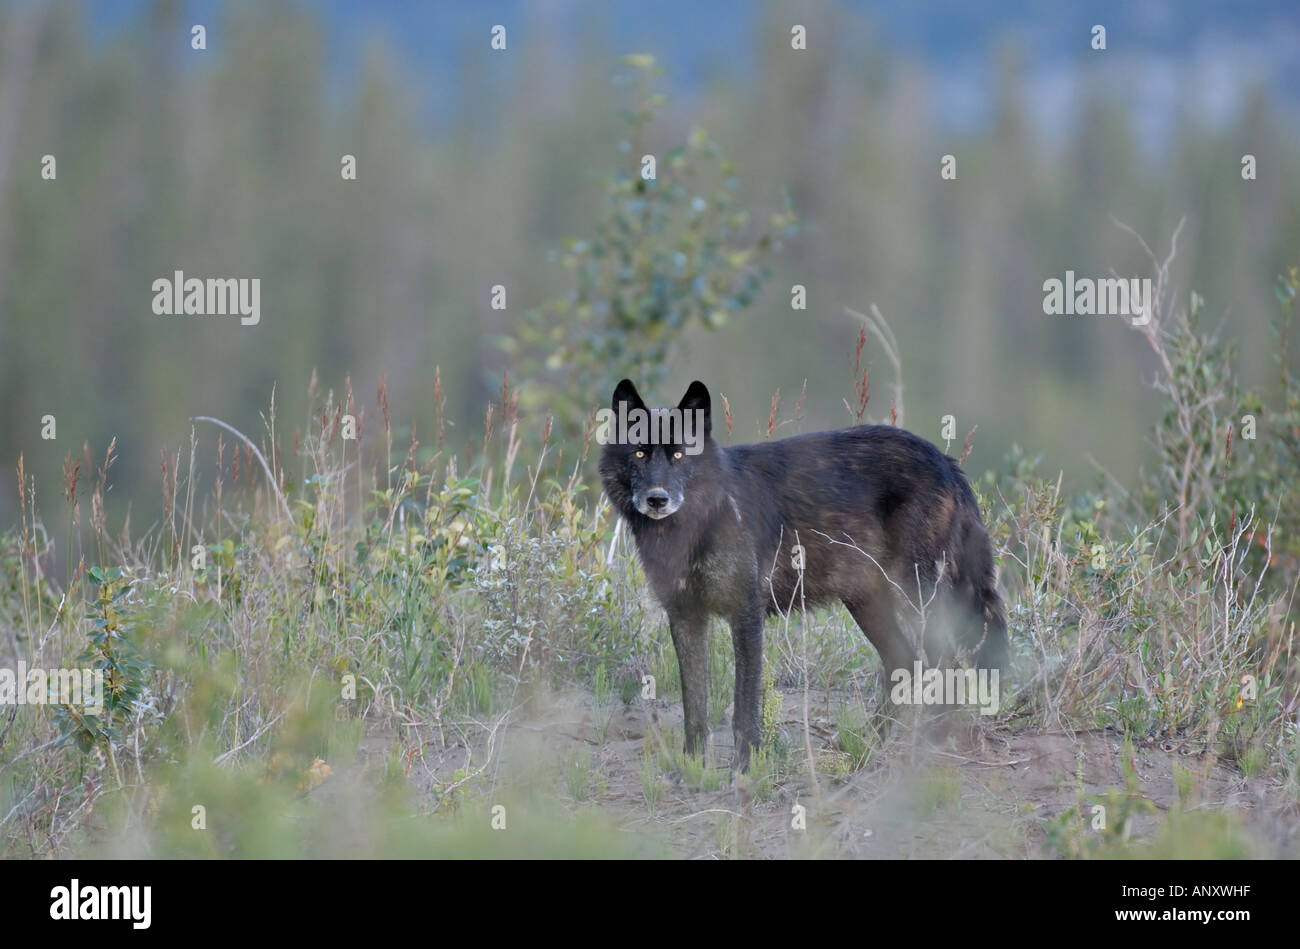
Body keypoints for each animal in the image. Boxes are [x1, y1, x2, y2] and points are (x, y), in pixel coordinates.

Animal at [599, 379, 1008, 771]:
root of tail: (945, 460)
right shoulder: (686, 617)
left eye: (679, 455)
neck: (695, 524)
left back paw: (928, 742)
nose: (657, 499)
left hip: (917, 595)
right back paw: (864, 745)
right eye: (639, 454)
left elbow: (745, 705)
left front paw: (744, 768)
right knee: (905, 663)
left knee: (946, 661)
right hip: (867, 602)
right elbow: (694, 708)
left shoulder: (745, 614)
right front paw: (692, 769)